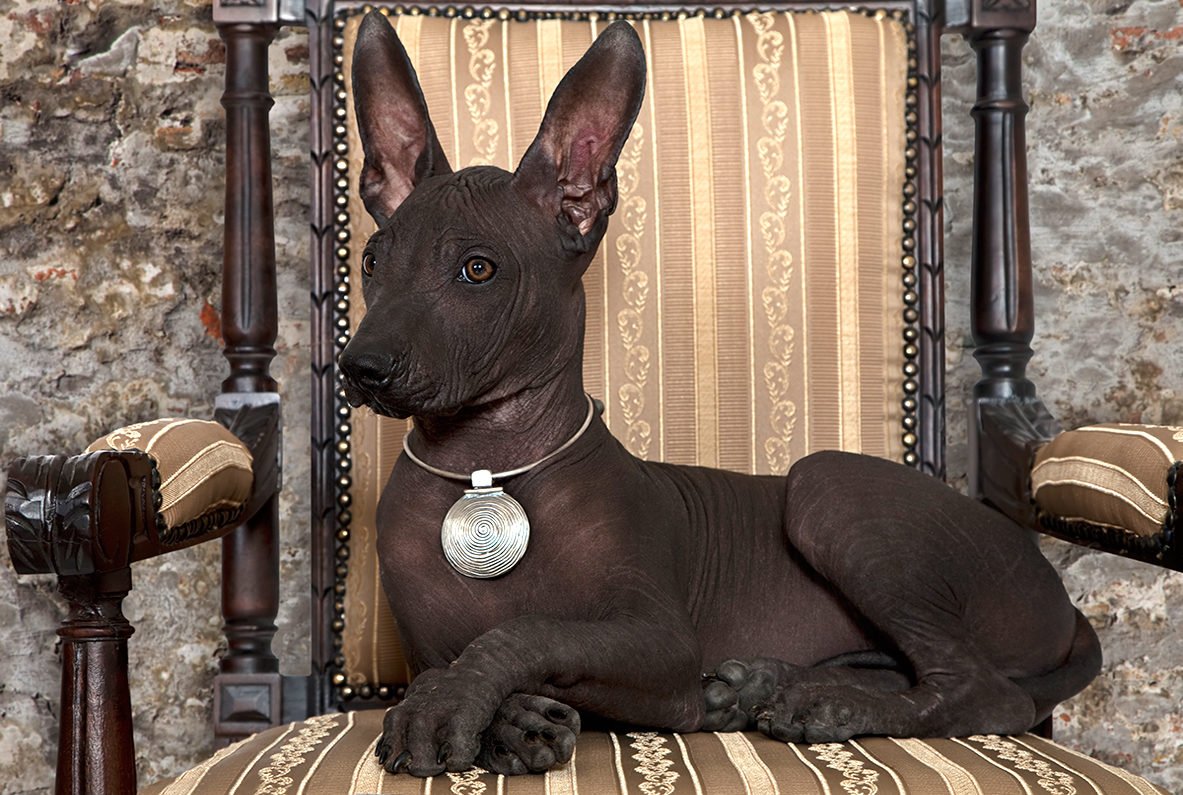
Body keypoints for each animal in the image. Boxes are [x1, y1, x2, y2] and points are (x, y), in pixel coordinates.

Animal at [338, 13, 1101, 778]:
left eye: (477, 270)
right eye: (373, 262)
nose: (360, 367)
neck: (484, 466)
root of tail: (1058, 594)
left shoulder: (661, 642)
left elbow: (522, 632)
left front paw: (460, 704)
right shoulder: (423, 645)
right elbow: (451, 661)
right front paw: (504, 718)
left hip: (829, 485)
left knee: (982, 690)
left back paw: (830, 705)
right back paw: (770, 684)